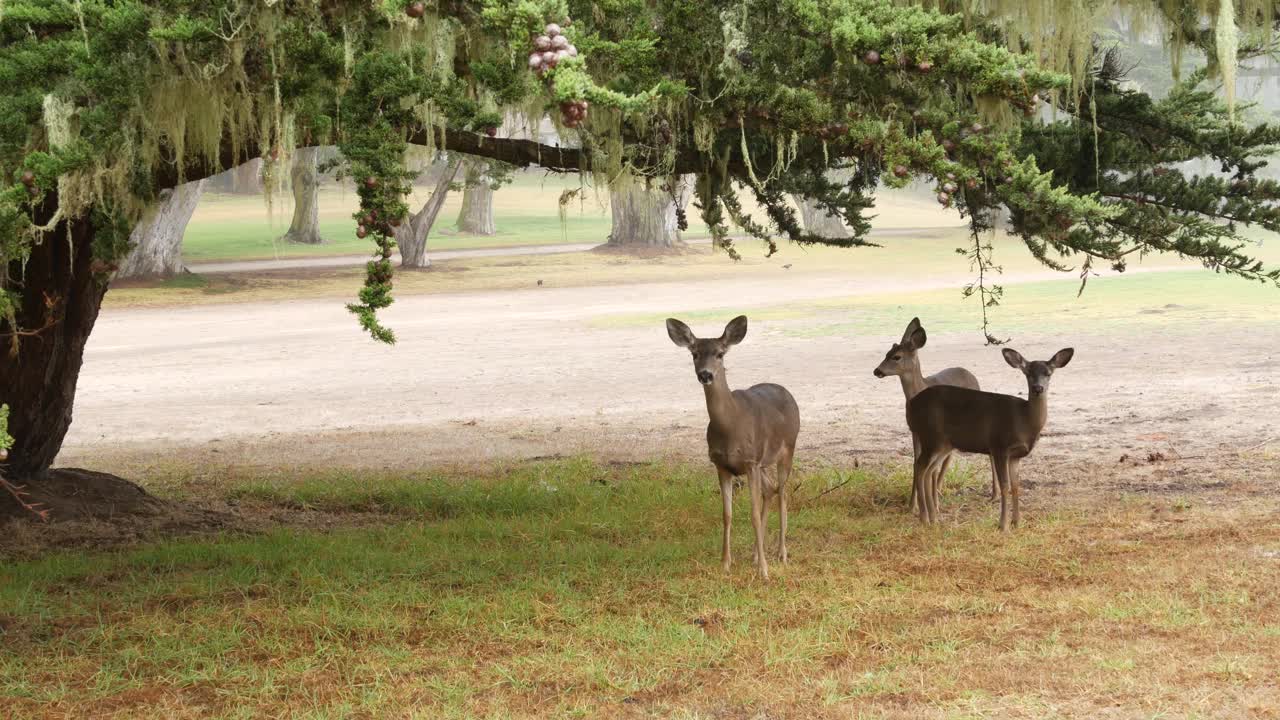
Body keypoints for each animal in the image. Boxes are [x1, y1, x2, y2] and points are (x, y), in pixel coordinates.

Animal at [670, 313, 798, 576]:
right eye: (694, 353)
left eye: (720, 353)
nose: (705, 374)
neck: (730, 426)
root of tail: (787, 392)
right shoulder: (721, 464)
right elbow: (727, 514)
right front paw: (725, 564)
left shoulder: (750, 461)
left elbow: (753, 515)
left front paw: (764, 572)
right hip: (763, 462)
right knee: (771, 490)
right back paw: (755, 554)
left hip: (788, 449)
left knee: (782, 494)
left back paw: (781, 554)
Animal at [870, 315, 998, 509]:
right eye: (886, 353)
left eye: (896, 356)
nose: (877, 371)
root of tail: (972, 376)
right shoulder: (915, 430)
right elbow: (916, 463)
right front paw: (912, 505)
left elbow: (931, 466)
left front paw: (932, 504)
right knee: (949, 456)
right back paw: (938, 489)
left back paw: (994, 495)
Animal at [906, 345, 1075, 530]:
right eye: (1028, 373)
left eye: (1048, 373)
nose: (1038, 388)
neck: (1024, 420)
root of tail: (911, 405)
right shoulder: (999, 445)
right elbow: (1005, 486)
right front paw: (1004, 525)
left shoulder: (1015, 455)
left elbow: (1016, 485)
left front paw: (1017, 522)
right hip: (931, 436)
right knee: (919, 467)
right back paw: (924, 517)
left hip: (943, 443)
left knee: (928, 470)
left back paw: (934, 517)